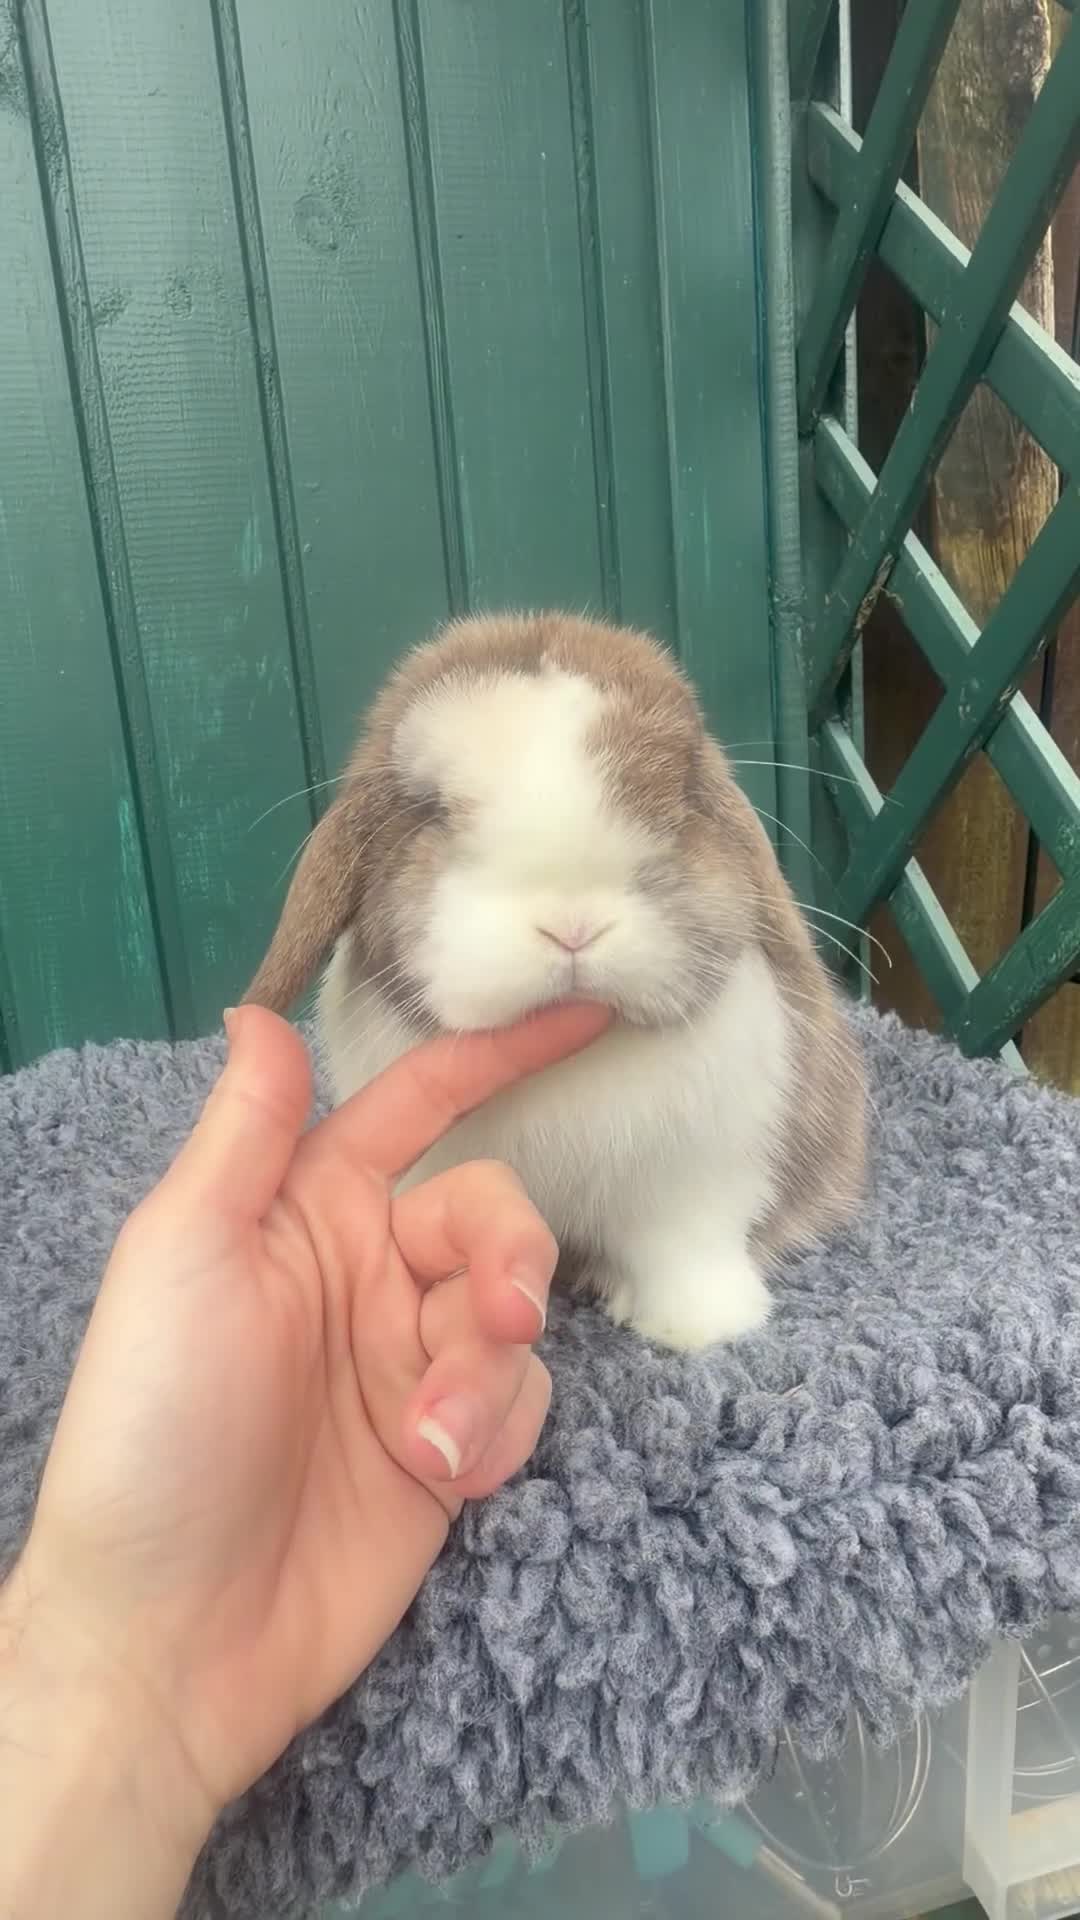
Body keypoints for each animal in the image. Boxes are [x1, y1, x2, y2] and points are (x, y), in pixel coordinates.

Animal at [242, 612, 866, 1351]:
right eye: (430, 812)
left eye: (679, 795)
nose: (573, 928)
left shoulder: (698, 1183)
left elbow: (687, 1254)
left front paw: (701, 1329)